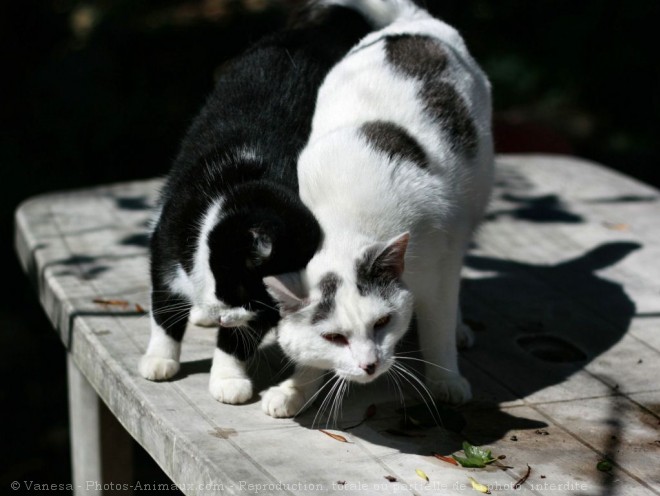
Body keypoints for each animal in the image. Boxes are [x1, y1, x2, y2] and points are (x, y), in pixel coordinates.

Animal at [136, 0, 390, 404]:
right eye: (255, 289)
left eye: (273, 304)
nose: (227, 316)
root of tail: (313, 33)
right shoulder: (167, 238)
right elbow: (165, 307)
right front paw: (161, 358)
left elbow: (237, 342)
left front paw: (227, 377)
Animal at [260, 0, 492, 418]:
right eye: (334, 337)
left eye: (383, 322)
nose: (370, 365)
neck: (345, 224)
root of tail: (412, 23)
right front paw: (294, 389)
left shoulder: (438, 267)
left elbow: (437, 328)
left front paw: (446, 381)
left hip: (471, 201)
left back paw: (460, 331)